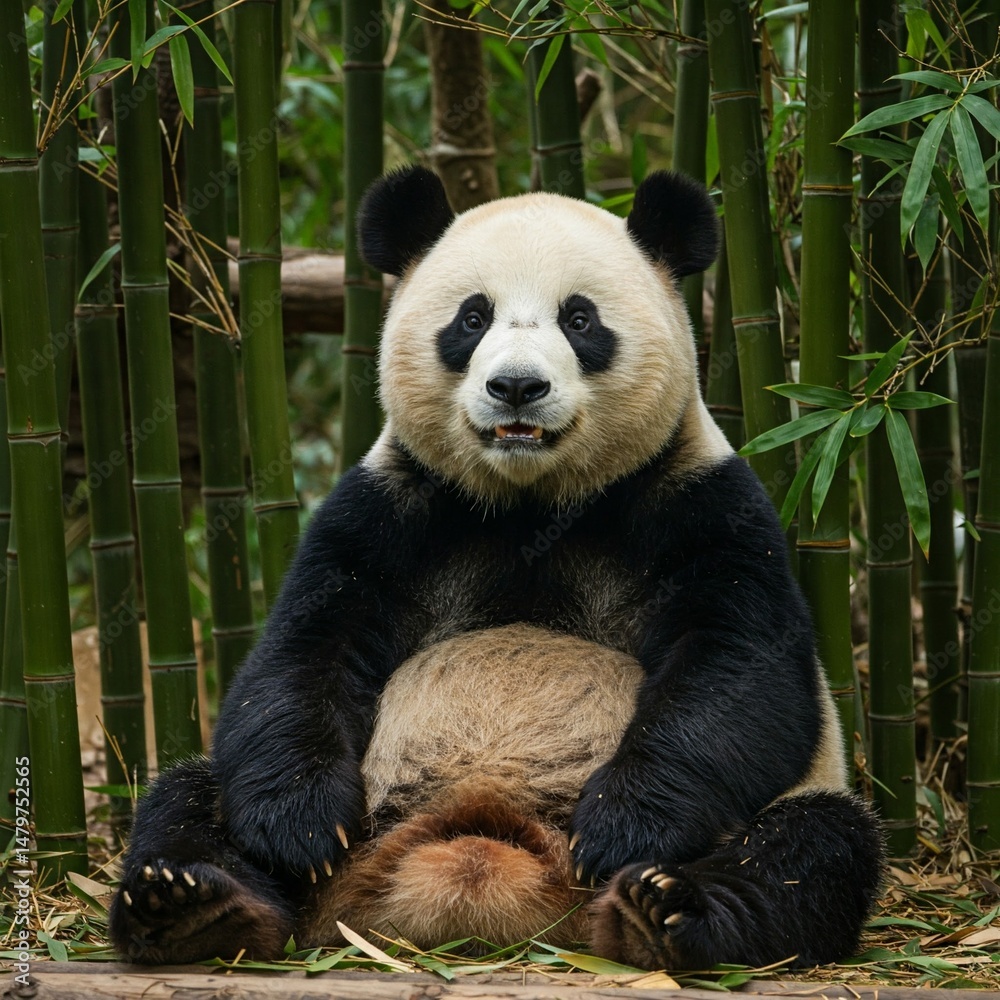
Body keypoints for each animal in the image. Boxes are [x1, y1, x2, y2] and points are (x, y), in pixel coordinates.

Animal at [109, 166, 884, 971]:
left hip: (791, 808)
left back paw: (664, 910)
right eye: (472, 317)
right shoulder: (390, 511)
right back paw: (193, 906)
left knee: (810, 847)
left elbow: (742, 672)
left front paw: (623, 826)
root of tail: (484, 849)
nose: (516, 386)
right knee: (185, 798)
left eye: (580, 319)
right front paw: (301, 825)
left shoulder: (703, 506)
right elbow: (299, 657)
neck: (530, 501)